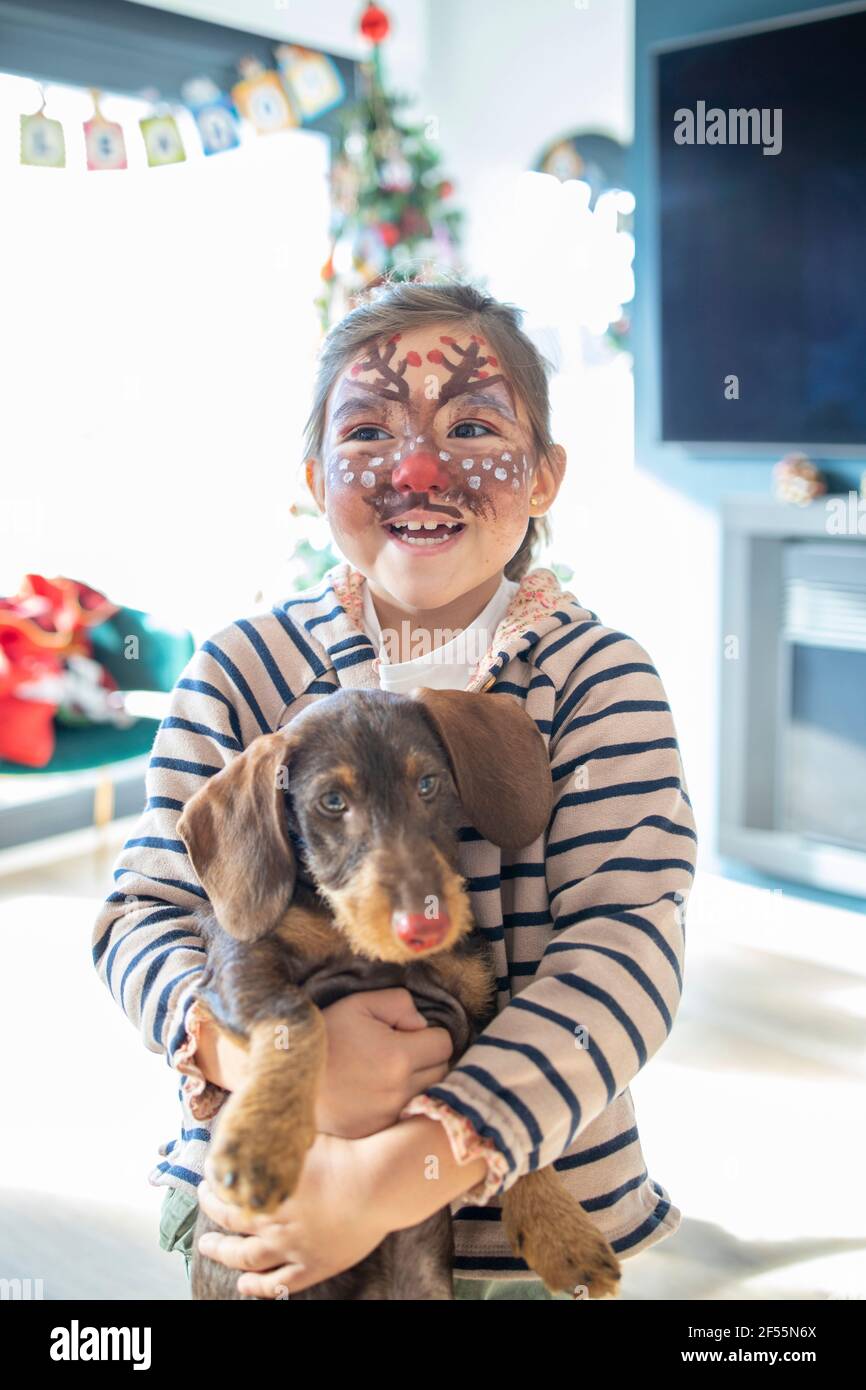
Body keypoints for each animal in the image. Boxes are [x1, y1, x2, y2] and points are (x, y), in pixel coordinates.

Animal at [177, 689, 622, 1295]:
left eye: (428, 784)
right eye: (332, 801)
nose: (425, 927)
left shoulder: (473, 1008)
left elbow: (499, 1104)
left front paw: (561, 1232)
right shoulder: (239, 966)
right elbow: (298, 1022)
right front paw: (261, 1142)